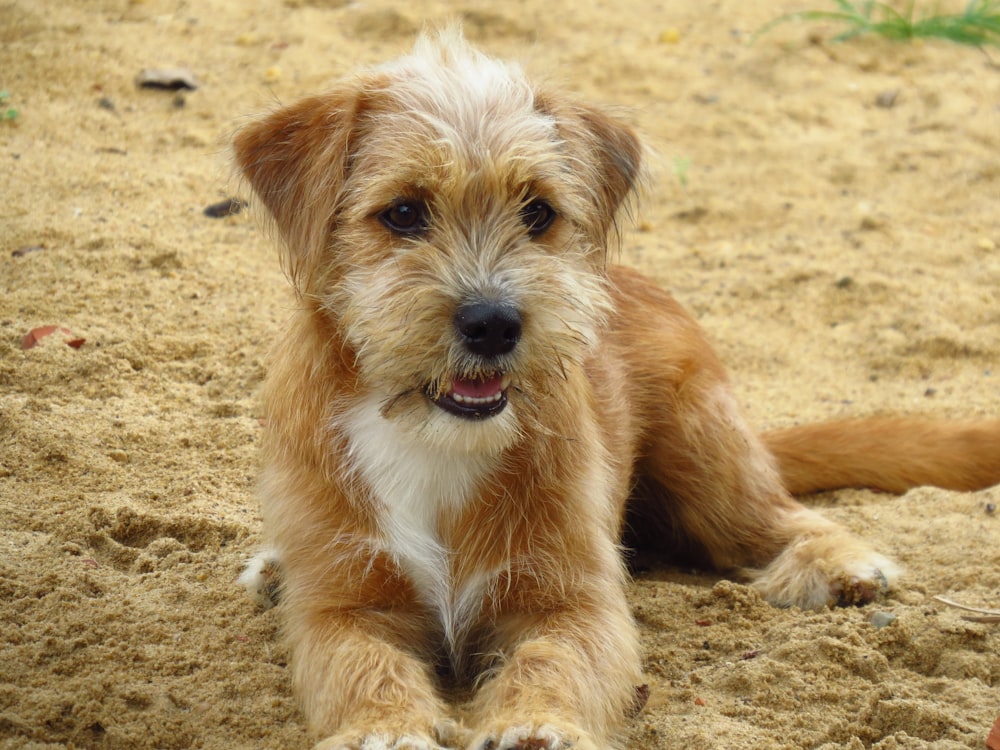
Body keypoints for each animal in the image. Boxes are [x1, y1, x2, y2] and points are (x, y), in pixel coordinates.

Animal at [234, 29, 1000, 750]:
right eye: (402, 213)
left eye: (537, 212)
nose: (494, 323)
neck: (435, 440)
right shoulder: (344, 607)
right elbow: (362, 666)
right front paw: (384, 728)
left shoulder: (573, 601)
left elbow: (556, 660)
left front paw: (537, 724)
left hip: (704, 461)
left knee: (781, 516)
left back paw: (840, 562)